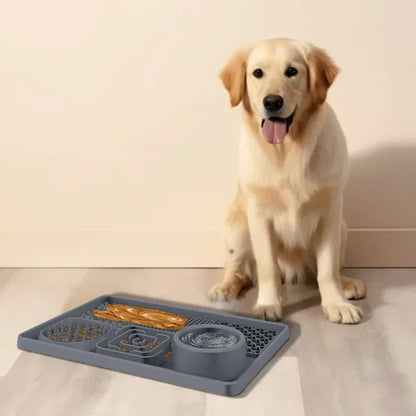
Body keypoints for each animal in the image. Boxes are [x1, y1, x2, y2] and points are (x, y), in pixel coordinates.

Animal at [210, 38, 366, 324]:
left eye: (292, 71)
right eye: (257, 73)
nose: (272, 102)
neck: (287, 149)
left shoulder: (330, 212)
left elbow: (327, 270)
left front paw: (336, 303)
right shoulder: (260, 216)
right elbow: (268, 268)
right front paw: (267, 305)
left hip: (343, 228)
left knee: (326, 270)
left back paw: (348, 284)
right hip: (237, 228)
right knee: (239, 271)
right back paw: (225, 288)